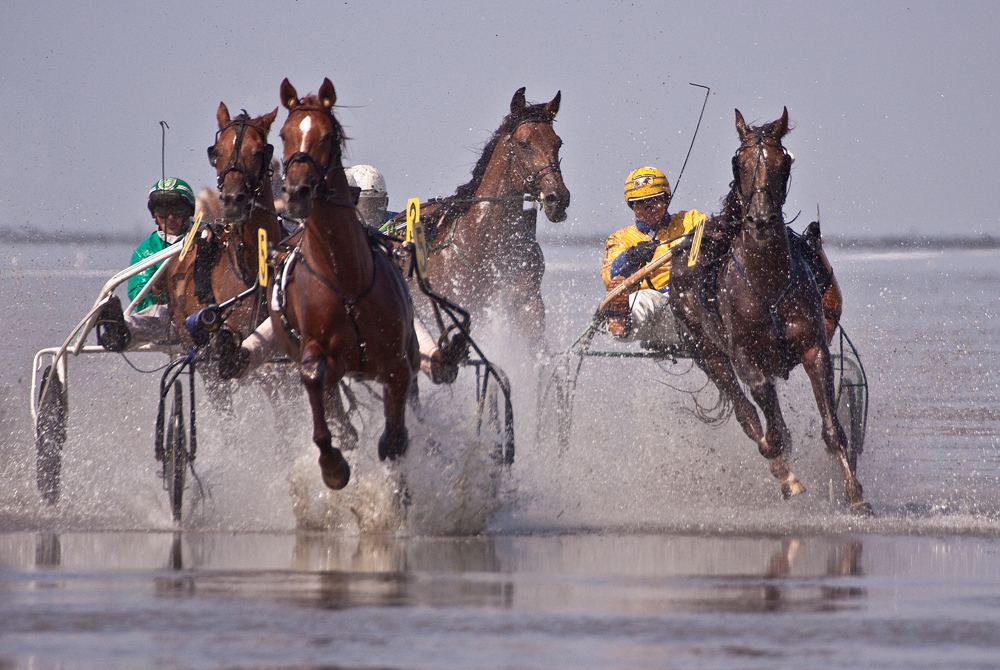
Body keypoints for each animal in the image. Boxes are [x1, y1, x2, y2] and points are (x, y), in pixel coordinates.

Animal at [270, 79, 418, 490]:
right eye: (283, 134)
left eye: (327, 135)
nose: (296, 193)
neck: (346, 277)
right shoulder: (314, 348)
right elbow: (313, 378)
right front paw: (333, 463)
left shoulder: (397, 363)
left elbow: (395, 439)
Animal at [668, 110, 872, 516]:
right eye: (739, 162)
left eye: (784, 161)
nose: (760, 220)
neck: (767, 282)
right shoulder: (744, 356)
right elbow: (766, 411)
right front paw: (780, 460)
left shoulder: (814, 347)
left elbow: (831, 428)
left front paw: (855, 494)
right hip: (705, 351)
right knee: (746, 413)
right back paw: (782, 472)